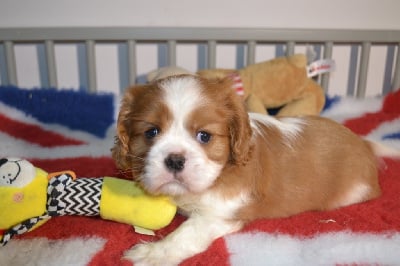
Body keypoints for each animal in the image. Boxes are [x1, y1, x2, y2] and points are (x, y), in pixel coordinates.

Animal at [112, 75, 394, 266]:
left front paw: (153, 252)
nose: (174, 160)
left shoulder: (222, 213)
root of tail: (364, 143)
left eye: (204, 136)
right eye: (151, 132)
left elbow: (187, 232)